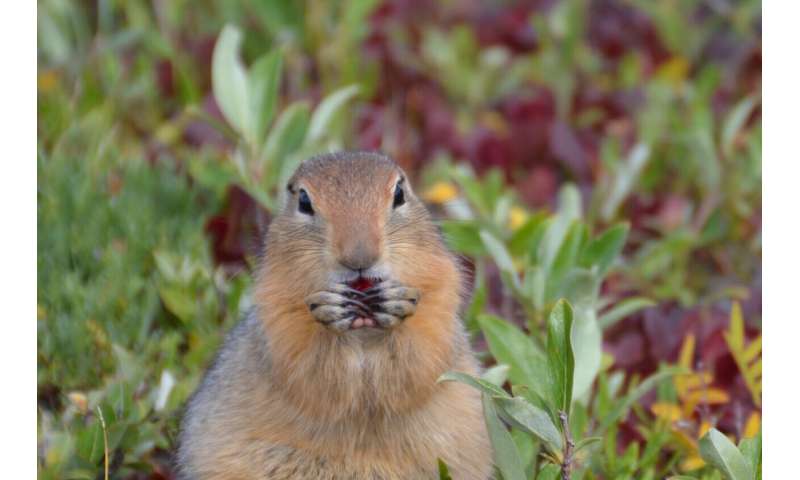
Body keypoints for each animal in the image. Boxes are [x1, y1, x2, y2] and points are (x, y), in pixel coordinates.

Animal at [177, 152, 490, 478]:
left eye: (399, 194)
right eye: (304, 201)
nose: (359, 257)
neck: (363, 333)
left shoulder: (440, 300)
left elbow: (419, 360)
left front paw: (397, 307)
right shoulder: (277, 315)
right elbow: (312, 367)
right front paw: (329, 314)